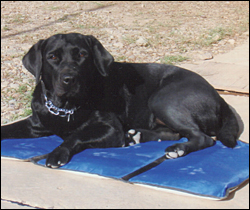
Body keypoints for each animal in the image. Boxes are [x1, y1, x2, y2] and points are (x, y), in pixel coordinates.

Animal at [0, 33, 239, 167]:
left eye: (82, 55)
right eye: (52, 57)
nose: (69, 79)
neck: (65, 108)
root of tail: (219, 97)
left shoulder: (110, 128)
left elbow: (76, 135)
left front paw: (58, 153)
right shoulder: (35, 125)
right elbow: (7, 129)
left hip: (163, 100)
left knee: (202, 137)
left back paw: (177, 149)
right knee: (175, 132)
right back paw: (137, 135)